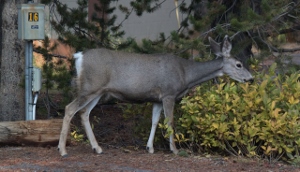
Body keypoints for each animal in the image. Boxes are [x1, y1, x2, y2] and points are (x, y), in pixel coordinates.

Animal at [58, 35, 253, 156]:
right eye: (239, 64)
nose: (250, 78)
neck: (186, 74)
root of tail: (79, 56)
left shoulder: (156, 99)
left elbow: (154, 121)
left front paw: (149, 147)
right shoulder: (169, 93)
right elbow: (170, 122)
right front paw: (174, 150)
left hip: (99, 91)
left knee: (84, 113)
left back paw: (97, 148)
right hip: (90, 87)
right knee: (69, 108)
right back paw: (62, 150)